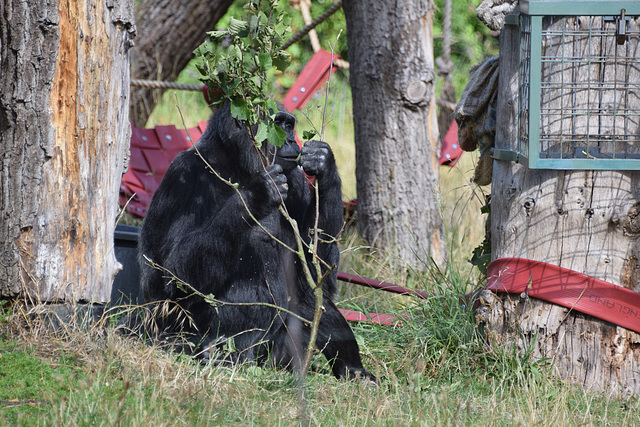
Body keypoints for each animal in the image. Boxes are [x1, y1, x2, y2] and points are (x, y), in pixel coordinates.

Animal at [138, 101, 372, 382]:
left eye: (289, 125)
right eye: (278, 124)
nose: (291, 139)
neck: (235, 163)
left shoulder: (296, 181)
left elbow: (314, 275)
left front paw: (323, 163)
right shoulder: (183, 176)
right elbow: (170, 277)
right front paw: (256, 194)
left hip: (282, 361)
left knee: (309, 302)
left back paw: (352, 369)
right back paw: (218, 356)